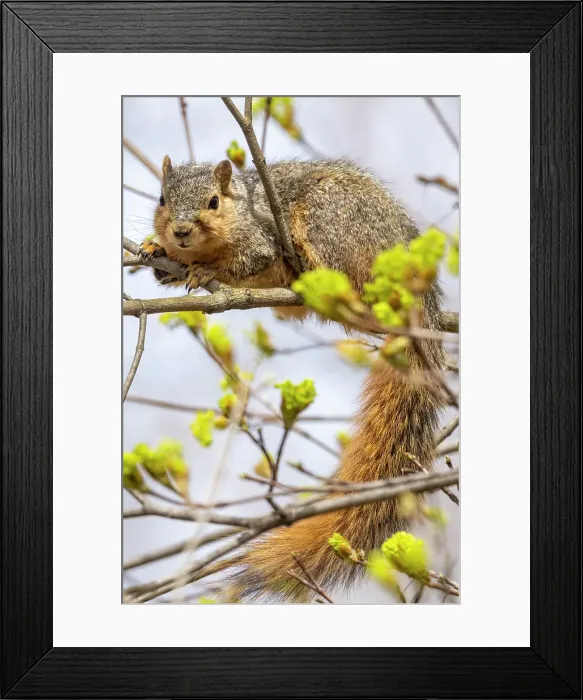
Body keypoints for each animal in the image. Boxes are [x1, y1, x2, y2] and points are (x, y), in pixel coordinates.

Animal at [143, 156, 445, 602]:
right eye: (162, 198)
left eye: (214, 201)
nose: (179, 231)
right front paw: (154, 249)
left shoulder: (262, 237)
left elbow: (248, 261)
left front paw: (202, 269)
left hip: (330, 222)